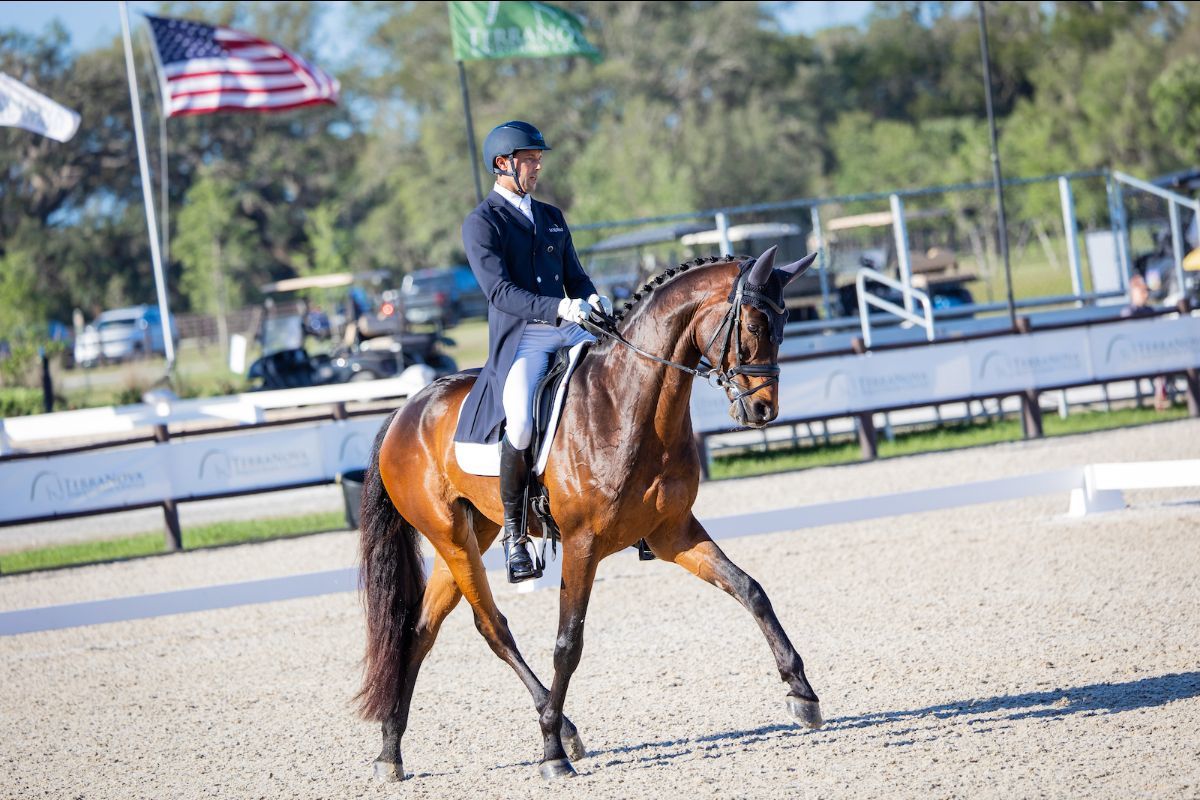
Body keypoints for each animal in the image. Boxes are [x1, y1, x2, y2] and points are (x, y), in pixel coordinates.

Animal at [360, 245, 820, 782]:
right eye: (751, 325)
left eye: (784, 323)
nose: (764, 411)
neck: (628, 404)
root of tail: (405, 410)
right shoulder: (582, 544)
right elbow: (568, 643)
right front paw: (550, 754)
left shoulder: (673, 533)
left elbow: (751, 590)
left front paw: (802, 693)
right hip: (450, 536)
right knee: (492, 627)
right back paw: (554, 730)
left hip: (474, 530)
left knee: (420, 631)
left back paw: (391, 751)